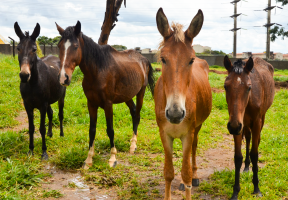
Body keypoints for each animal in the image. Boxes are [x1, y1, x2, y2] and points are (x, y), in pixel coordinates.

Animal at [14, 22, 66, 159]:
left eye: (34, 49)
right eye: (18, 48)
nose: (24, 75)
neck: (33, 83)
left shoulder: (42, 105)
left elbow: (41, 128)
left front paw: (44, 152)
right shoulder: (28, 105)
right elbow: (31, 128)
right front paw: (31, 150)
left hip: (61, 97)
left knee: (60, 114)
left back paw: (61, 134)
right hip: (48, 101)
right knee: (51, 113)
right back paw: (50, 134)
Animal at [55, 20, 155, 169]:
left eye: (75, 46)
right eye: (59, 46)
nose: (63, 78)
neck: (97, 70)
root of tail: (144, 59)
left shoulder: (108, 104)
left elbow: (110, 130)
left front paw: (113, 158)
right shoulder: (91, 103)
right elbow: (92, 130)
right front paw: (88, 160)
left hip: (140, 93)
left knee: (137, 116)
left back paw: (133, 146)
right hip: (127, 96)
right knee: (133, 113)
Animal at [154, 7, 213, 200]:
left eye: (191, 60)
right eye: (163, 59)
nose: (175, 114)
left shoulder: (189, 133)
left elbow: (186, 173)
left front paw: (190, 179)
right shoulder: (164, 134)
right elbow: (168, 173)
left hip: (197, 128)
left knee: (193, 150)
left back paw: (195, 176)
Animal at [223, 56, 274, 200]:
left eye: (249, 87)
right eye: (225, 86)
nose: (234, 126)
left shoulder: (255, 123)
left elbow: (255, 154)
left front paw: (256, 188)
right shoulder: (236, 124)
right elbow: (237, 157)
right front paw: (235, 191)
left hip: (261, 119)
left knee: (257, 139)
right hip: (243, 124)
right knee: (248, 138)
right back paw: (246, 167)